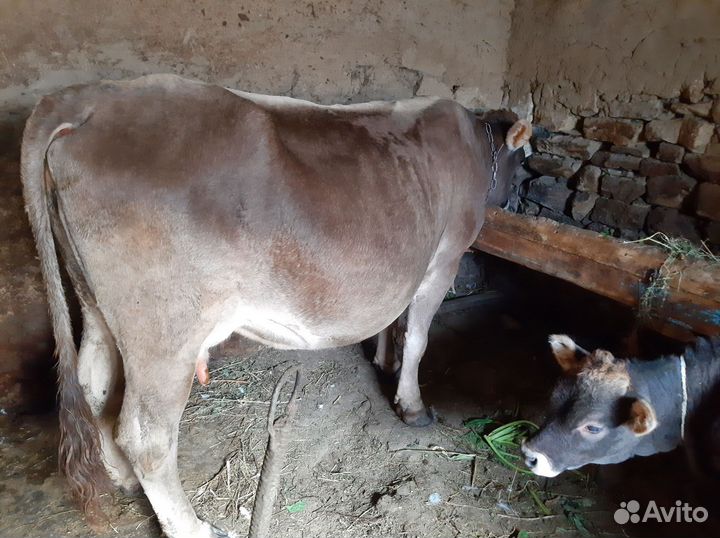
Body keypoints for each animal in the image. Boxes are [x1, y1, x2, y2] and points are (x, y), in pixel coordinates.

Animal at [21, 74, 531, 537]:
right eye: (522, 164)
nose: (512, 199)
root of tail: (93, 97)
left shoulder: (404, 268)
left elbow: (391, 322)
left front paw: (383, 361)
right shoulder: (444, 258)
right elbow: (418, 337)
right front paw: (412, 404)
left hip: (96, 304)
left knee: (94, 386)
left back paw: (121, 477)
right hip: (166, 328)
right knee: (146, 435)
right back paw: (191, 526)